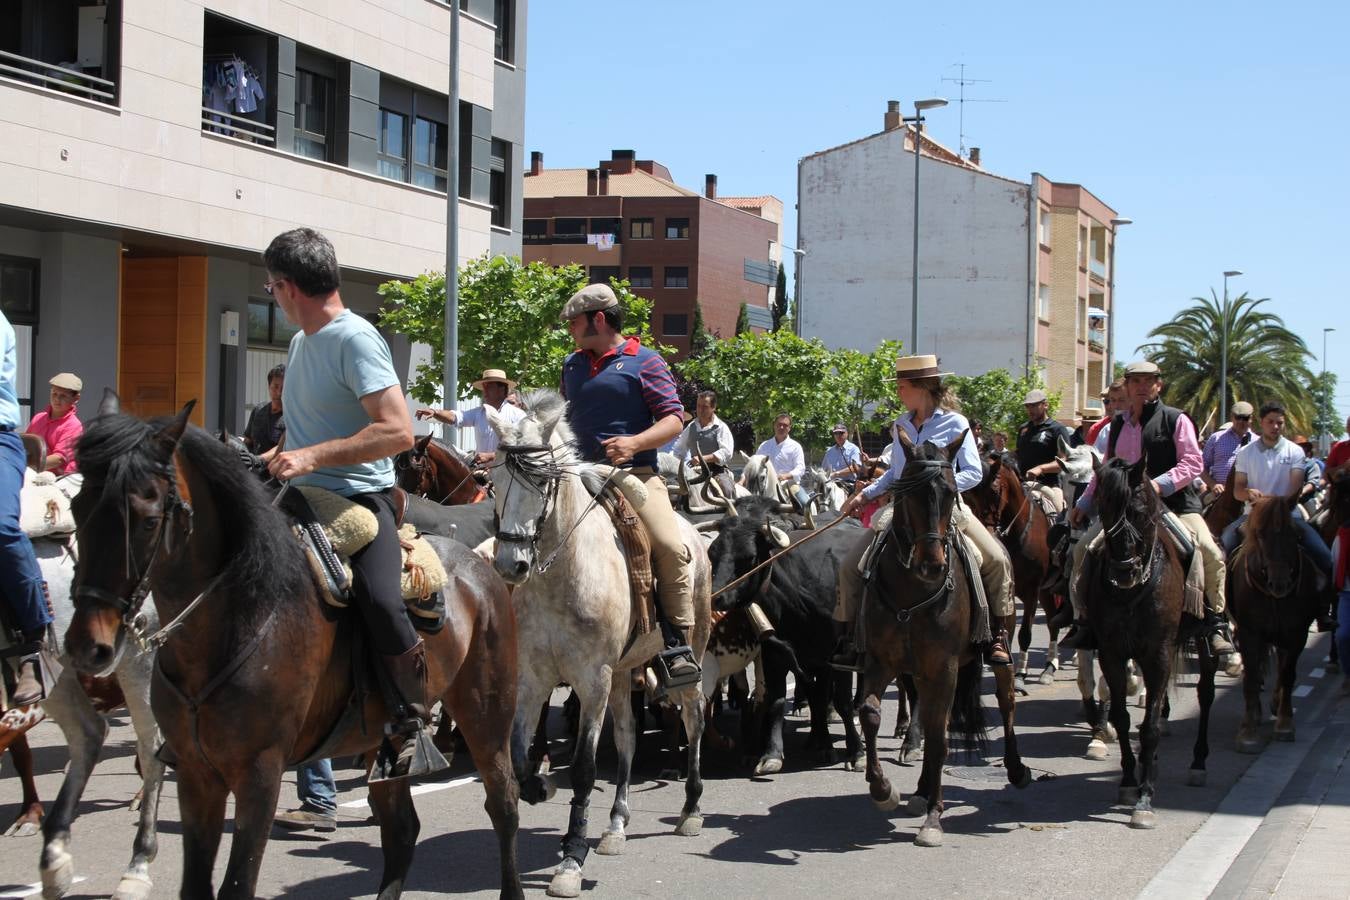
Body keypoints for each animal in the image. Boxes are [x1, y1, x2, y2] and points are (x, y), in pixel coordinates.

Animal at [65, 399, 523, 900]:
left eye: (148, 518)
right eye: (76, 506)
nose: (89, 645)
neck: (237, 616)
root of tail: (480, 564)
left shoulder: (259, 775)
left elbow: (238, 883)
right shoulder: (195, 774)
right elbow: (197, 884)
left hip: (486, 712)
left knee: (503, 803)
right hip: (383, 745)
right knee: (402, 830)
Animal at [488, 391, 718, 895]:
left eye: (540, 480)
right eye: (493, 480)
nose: (511, 564)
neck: (562, 573)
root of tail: (697, 535)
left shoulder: (591, 680)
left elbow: (583, 768)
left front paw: (571, 859)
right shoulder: (533, 680)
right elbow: (519, 759)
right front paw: (541, 787)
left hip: (690, 651)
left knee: (694, 717)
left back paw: (692, 809)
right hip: (625, 671)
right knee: (628, 735)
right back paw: (616, 824)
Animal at [858, 431, 1026, 847]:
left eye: (950, 492)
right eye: (908, 490)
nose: (932, 564)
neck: (911, 593)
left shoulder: (944, 668)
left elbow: (939, 738)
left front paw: (934, 818)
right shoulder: (882, 662)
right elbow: (870, 713)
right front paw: (883, 790)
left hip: (992, 652)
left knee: (1006, 701)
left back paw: (1016, 769)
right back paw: (918, 791)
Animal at [1080, 458, 1220, 831]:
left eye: (1141, 511)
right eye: (1103, 507)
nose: (1123, 570)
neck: (1131, 593)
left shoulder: (1158, 655)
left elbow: (1152, 727)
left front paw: (1144, 800)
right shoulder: (1113, 653)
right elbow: (1123, 718)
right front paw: (1130, 782)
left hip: (1202, 639)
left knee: (1205, 693)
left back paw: (1198, 763)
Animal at [1236, 493, 1317, 755]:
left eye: (1295, 535)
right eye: (1259, 534)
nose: (1279, 584)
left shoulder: (1297, 633)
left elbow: (1288, 674)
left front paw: (1284, 724)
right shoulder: (1248, 633)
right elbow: (1251, 676)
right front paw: (1248, 733)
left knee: (1281, 667)